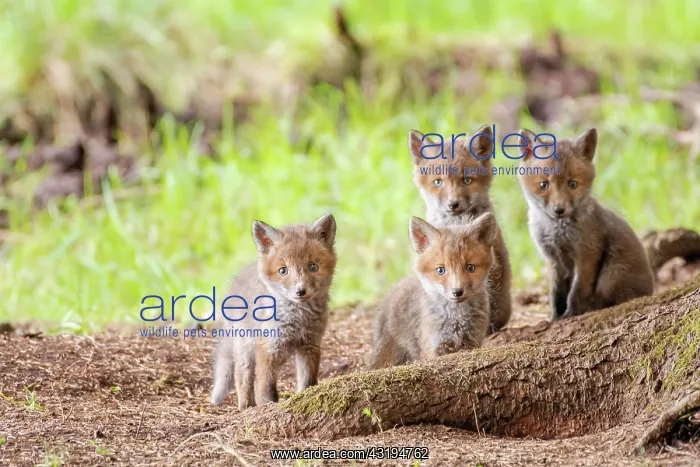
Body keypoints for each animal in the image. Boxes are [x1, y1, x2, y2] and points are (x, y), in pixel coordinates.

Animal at [210, 214, 337, 409]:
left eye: (313, 267)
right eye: (283, 271)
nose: (300, 291)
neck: (298, 318)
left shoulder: (310, 345)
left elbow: (307, 382)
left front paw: (304, 398)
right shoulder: (268, 346)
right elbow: (265, 387)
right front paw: (268, 406)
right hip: (246, 348)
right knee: (242, 376)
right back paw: (246, 407)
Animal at [369, 213, 496, 369]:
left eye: (470, 267)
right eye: (440, 270)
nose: (457, 291)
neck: (456, 319)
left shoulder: (471, 343)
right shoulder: (433, 347)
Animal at [517, 127, 654, 320]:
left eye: (572, 184)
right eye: (544, 185)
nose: (559, 210)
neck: (557, 231)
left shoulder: (587, 253)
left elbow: (577, 291)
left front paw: (572, 314)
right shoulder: (554, 260)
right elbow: (556, 294)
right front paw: (554, 318)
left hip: (610, 276)